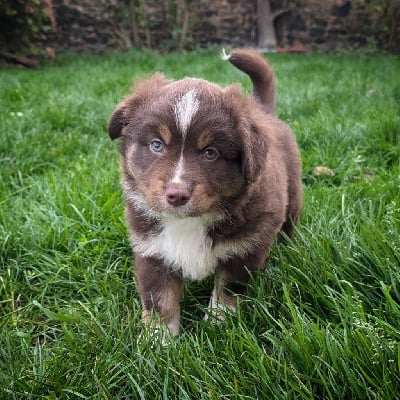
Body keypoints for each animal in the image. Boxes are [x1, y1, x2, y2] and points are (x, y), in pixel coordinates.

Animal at [108, 50, 302, 338]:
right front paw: (158, 340)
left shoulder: (244, 248)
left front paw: (219, 326)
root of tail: (263, 110)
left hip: (293, 196)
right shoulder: (152, 249)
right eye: (156, 145)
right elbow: (160, 300)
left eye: (210, 153)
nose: (176, 194)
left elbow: (227, 291)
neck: (189, 222)